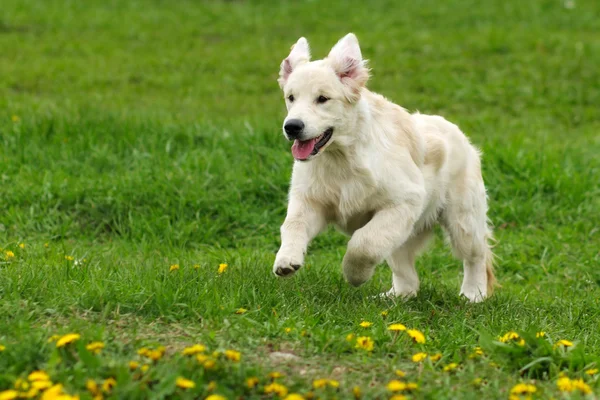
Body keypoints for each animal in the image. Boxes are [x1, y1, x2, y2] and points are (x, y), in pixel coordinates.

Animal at [274, 33, 496, 304]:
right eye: (291, 98)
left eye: (323, 99)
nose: (292, 126)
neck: (341, 158)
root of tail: (458, 133)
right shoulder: (310, 200)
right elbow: (292, 224)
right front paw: (286, 260)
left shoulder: (403, 201)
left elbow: (364, 242)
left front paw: (354, 274)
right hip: (405, 234)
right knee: (407, 279)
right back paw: (392, 298)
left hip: (463, 218)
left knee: (475, 256)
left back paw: (473, 294)